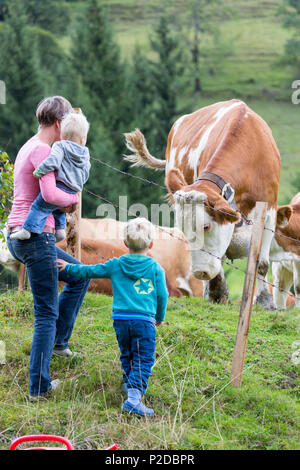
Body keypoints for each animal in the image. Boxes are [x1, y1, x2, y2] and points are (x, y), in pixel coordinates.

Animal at [123, 100, 290, 308]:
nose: (199, 272)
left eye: (206, 226)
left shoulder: (269, 212)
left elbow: (261, 263)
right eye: (183, 230)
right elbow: (221, 257)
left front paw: (266, 302)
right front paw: (217, 293)